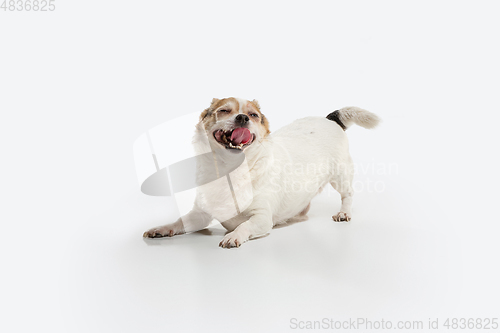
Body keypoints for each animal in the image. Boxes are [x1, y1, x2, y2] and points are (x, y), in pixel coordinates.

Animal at [142, 97, 378, 248]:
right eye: (224, 110)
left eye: (253, 115)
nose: (242, 118)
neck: (230, 171)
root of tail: (328, 118)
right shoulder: (200, 214)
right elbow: (179, 222)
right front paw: (162, 228)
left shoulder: (262, 218)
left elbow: (245, 224)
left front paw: (234, 235)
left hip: (340, 176)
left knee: (348, 194)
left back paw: (344, 212)